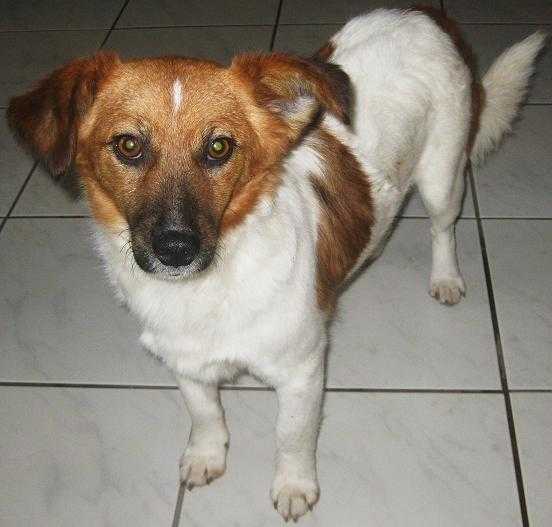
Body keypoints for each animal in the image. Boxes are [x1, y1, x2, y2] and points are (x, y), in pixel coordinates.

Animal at [7, 7, 545, 522]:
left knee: (442, 228)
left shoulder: (302, 372)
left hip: (442, 176)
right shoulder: (184, 360)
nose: (175, 248)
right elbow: (204, 413)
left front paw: (294, 487)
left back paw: (446, 277)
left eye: (219, 147)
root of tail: (423, 16)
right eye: (128, 146)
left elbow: (291, 437)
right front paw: (206, 455)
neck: (208, 283)